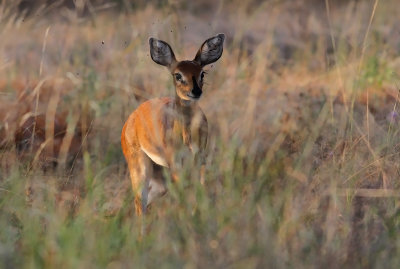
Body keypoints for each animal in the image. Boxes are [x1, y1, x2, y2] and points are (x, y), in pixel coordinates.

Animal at [120, 33, 225, 215]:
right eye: (178, 75)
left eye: (202, 73)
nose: (195, 91)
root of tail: (130, 120)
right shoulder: (175, 164)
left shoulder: (198, 158)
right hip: (140, 167)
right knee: (140, 203)